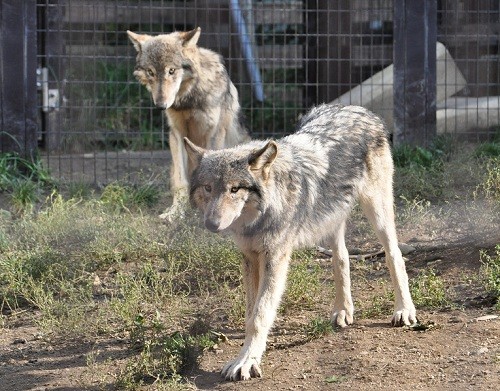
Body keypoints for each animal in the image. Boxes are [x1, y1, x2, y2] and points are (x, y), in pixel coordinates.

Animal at [127, 27, 248, 220]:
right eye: (151, 72)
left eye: (171, 70)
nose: (160, 105)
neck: (189, 100)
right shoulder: (177, 134)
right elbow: (181, 182)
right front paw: (175, 213)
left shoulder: (214, 134)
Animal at [185, 102, 418, 382]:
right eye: (208, 188)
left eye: (234, 189)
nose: (212, 224)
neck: (262, 213)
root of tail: (357, 108)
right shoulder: (250, 256)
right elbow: (250, 314)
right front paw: (247, 355)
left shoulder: (275, 258)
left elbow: (260, 315)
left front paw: (247, 361)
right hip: (332, 219)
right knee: (341, 258)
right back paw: (343, 310)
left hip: (378, 214)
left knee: (394, 255)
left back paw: (404, 310)